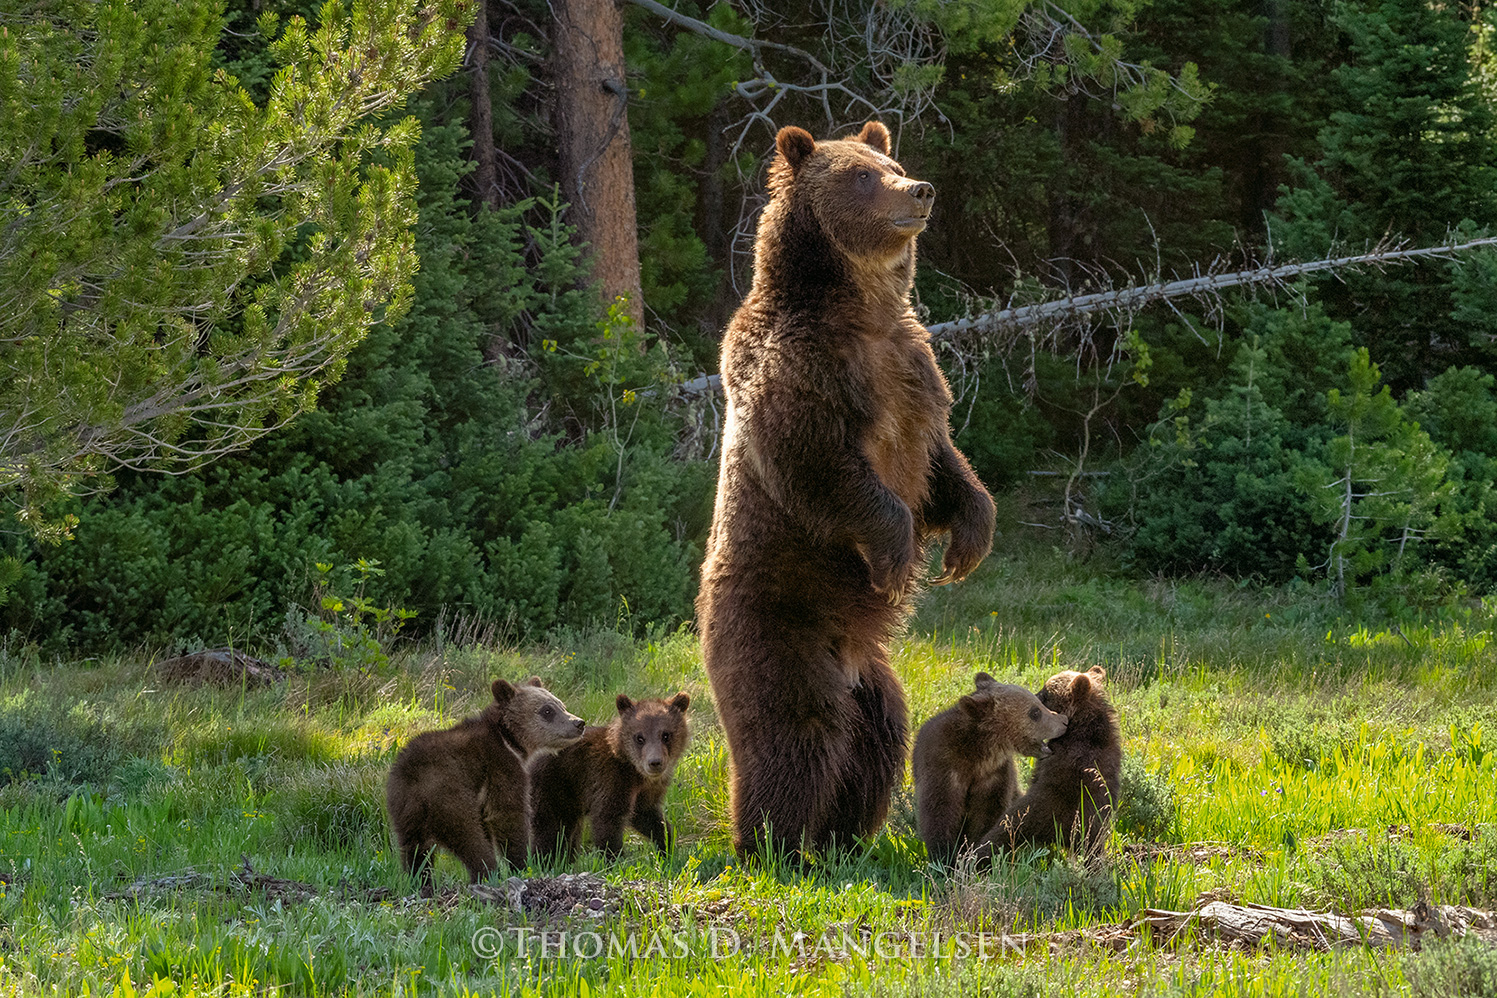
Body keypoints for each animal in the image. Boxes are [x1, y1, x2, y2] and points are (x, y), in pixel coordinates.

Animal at [384, 677, 584, 891]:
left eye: (561, 705)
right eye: (547, 710)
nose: (579, 723)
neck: (509, 740)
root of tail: (415, 781)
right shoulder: (500, 767)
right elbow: (508, 815)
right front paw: (522, 864)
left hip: (404, 809)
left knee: (414, 850)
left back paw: (422, 882)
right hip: (449, 796)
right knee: (471, 839)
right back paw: (486, 874)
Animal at [530, 692, 691, 859]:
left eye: (666, 735)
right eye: (639, 737)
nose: (654, 762)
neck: (634, 771)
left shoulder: (646, 792)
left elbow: (648, 817)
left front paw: (667, 847)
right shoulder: (608, 778)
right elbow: (607, 821)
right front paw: (614, 857)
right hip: (549, 787)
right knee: (549, 829)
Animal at [695, 120, 997, 859]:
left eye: (891, 162)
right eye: (861, 176)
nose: (919, 189)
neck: (861, 307)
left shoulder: (913, 369)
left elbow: (943, 464)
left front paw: (967, 542)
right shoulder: (802, 370)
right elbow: (822, 466)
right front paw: (896, 555)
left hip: (873, 678)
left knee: (877, 736)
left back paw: (845, 836)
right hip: (777, 627)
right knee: (796, 733)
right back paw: (771, 842)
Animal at [913, 671, 1069, 865]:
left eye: (1039, 702)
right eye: (1035, 712)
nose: (1064, 721)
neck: (978, 752)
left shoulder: (994, 776)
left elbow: (987, 816)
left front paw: (973, 853)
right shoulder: (943, 767)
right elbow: (940, 814)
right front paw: (946, 858)